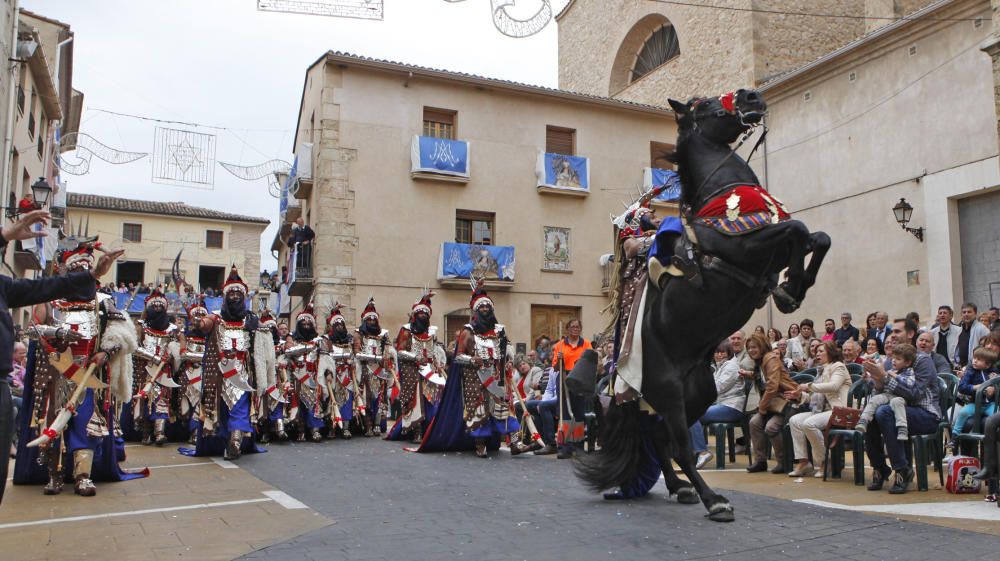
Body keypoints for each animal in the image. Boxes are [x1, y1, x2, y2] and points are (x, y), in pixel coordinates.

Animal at [576, 88, 832, 520]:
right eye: (701, 105)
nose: (752, 96)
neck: (723, 198)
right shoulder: (746, 246)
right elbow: (797, 229)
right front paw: (791, 289)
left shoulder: (772, 245)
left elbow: (818, 237)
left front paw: (792, 286)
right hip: (668, 391)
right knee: (676, 443)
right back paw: (713, 500)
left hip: (698, 393)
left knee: (661, 438)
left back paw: (680, 488)